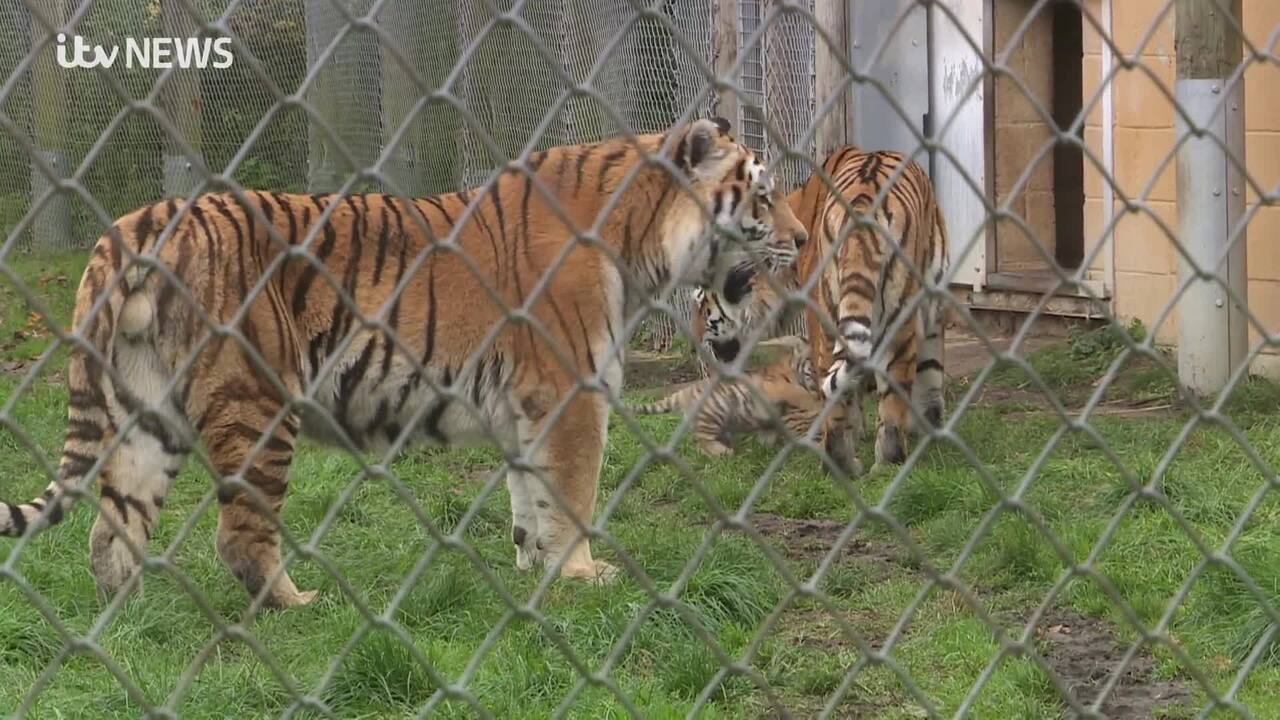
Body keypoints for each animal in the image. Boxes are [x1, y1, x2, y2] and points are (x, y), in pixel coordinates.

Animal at [0, 117, 808, 604]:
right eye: (764, 195)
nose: (802, 240)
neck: (642, 239)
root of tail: (135, 225)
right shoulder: (570, 393)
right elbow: (574, 493)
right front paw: (582, 575)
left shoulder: (528, 406)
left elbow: (530, 496)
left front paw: (531, 567)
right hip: (256, 403)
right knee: (238, 533)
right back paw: (296, 604)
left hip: (147, 411)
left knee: (112, 533)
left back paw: (128, 625)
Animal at [691, 142, 952, 474]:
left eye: (702, 305)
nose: (693, 340)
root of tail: (864, 210)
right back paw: (895, 456)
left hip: (832, 318)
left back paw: (854, 463)